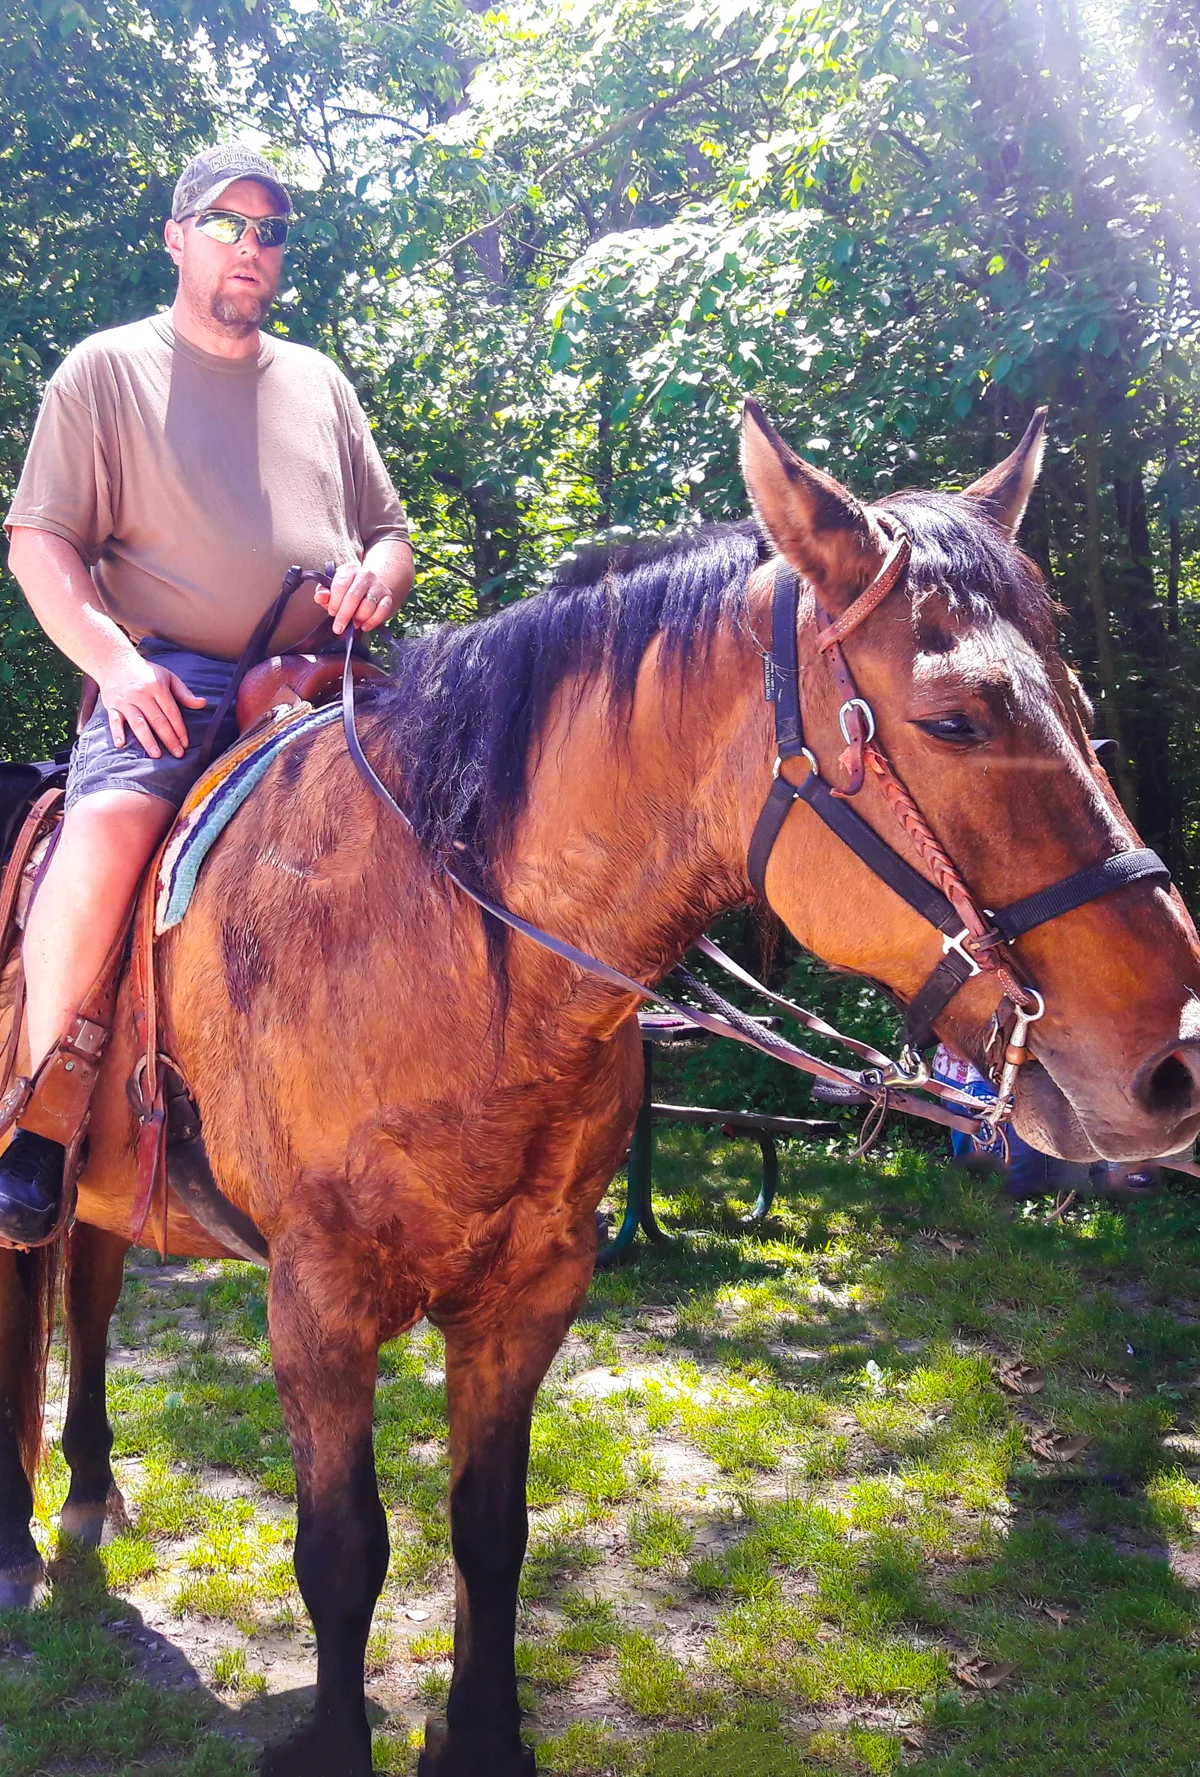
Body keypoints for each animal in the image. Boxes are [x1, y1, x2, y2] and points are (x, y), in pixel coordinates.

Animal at [2, 406, 1200, 1777]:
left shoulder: (533, 1289)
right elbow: (344, 1551)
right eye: (955, 718)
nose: (1172, 1061)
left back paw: (89, 1490)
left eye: (1080, 705)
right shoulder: (319, 1300)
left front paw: (481, 1737)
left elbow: (490, 1526)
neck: (447, 950)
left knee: (92, 1298)